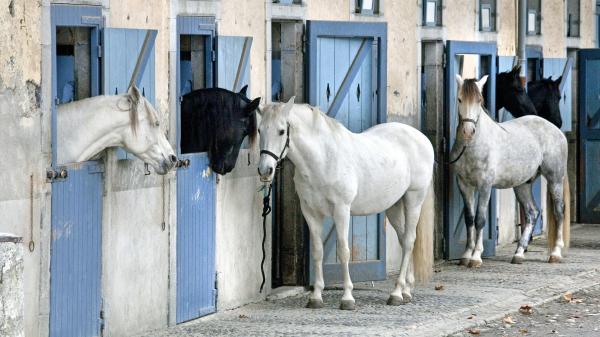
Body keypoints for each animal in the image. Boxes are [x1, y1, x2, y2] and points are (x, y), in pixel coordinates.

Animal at [255, 96, 434, 308]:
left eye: (281, 131)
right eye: (259, 130)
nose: (265, 170)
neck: (323, 159)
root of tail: (421, 138)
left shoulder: (341, 210)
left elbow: (343, 250)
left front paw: (347, 297)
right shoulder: (310, 212)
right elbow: (317, 251)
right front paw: (316, 296)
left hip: (414, 199)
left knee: (408, 241)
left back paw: (396, 293)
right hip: (394, 207)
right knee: (404, 238)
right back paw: (406, 290)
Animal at [454, 75, 572, 266]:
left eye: (479, 100)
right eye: (459, 99)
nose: (468, 131)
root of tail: (556, 129)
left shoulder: (485, 185)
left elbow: (480, 219)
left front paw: (476, 256)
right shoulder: (464, 184)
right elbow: (469, 219)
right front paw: (465, 255)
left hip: (555, 179)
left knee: (559, 211)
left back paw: (555, 253)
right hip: (522, 184)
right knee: (532, 213)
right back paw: (519, 253)